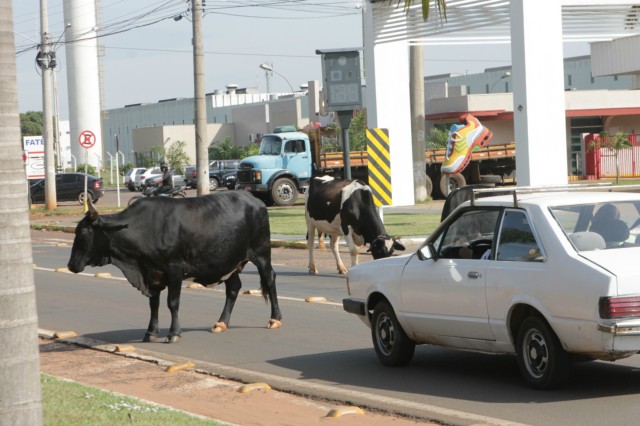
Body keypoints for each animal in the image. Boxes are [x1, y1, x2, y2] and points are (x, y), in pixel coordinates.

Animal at [67, 191, 282, 344]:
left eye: (84, 233)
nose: (70, 265)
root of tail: (255, 200)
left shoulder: (175, 269)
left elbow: (173, 302)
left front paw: (173, 333)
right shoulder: (152, 274)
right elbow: (154, 304)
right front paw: (150, 332)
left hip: (261, 253)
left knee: (270, 279)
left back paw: (275, 319)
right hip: (228, 262)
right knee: (234, 288)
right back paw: (221, 323)